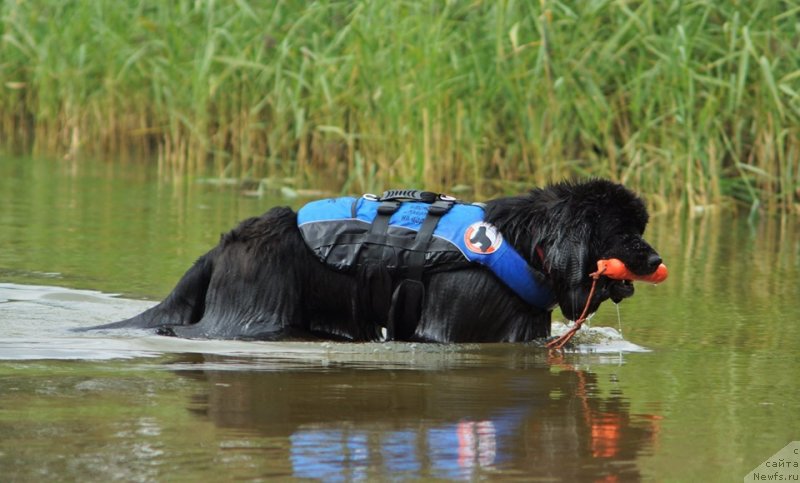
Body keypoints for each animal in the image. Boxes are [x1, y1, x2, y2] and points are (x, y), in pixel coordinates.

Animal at [86, 179, 664, 344]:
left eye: (642, 231)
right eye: (625, 234)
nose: (658, 257)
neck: (527, 246)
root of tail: (222, 246)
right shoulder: (448, 328)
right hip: (253, 313)